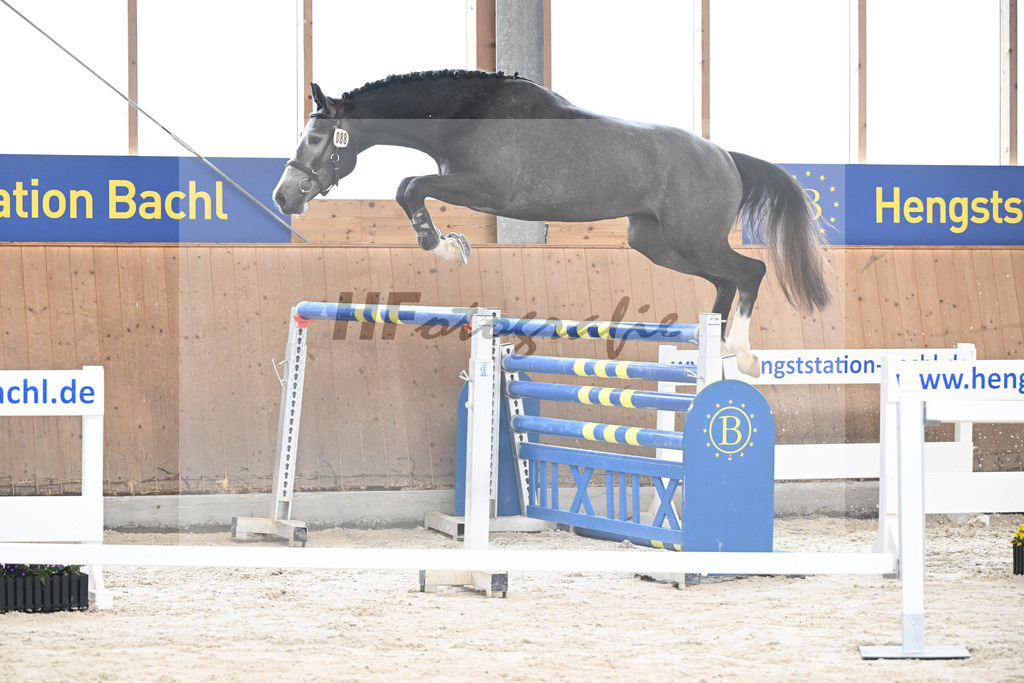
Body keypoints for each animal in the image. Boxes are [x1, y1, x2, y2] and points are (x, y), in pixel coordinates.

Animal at [273, 69, 831, 376]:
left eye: (316, 139)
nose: (284, 196)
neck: (470, 115)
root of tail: (727, 158)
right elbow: (409, 186)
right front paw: (447, 242)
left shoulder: (487, 190)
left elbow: (409, 186)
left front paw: (446, 245)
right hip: (657, 242)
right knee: (724, 282)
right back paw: (706, 350)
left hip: (693, 239)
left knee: (750, 272)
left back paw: (741, 352)